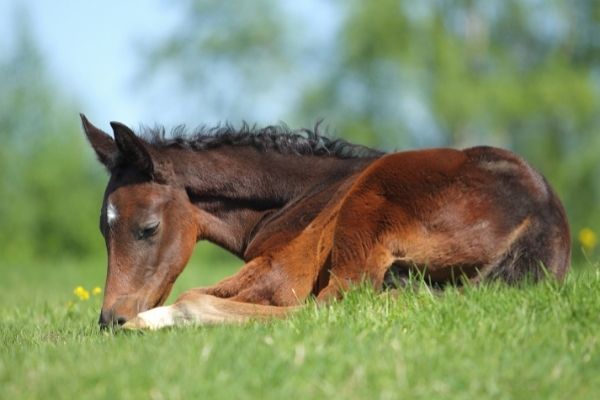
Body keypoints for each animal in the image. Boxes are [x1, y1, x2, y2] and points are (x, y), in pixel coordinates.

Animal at [81, 115, 572, 328]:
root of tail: (543, 211)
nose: (110, 318)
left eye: (148, 228)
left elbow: (197, 294)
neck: (298, 196)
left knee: (333, 306)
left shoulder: (283, 269)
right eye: (104, 230)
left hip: (364, 217)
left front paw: (153, 320)